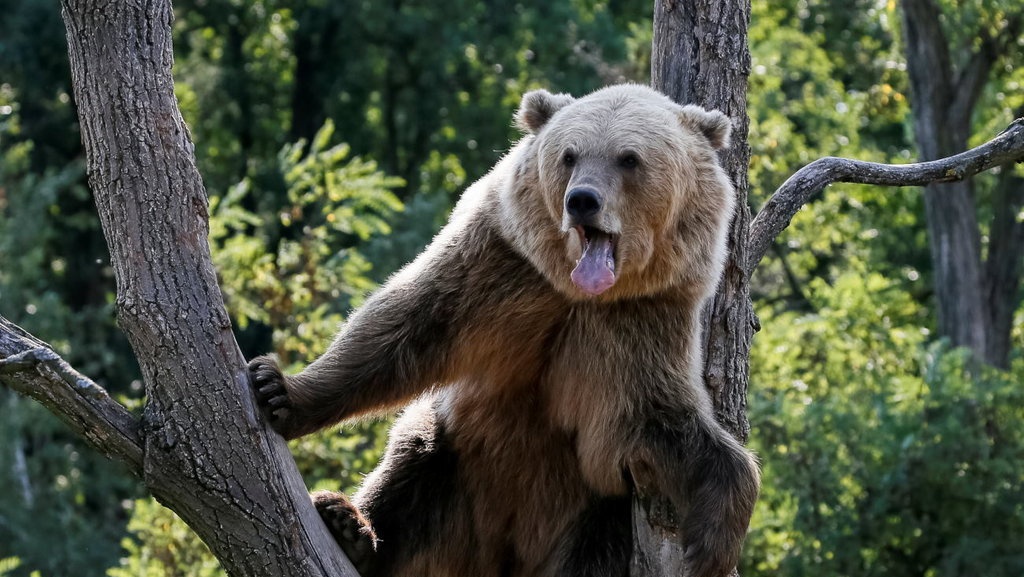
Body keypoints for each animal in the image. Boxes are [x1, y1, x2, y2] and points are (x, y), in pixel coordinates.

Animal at [249, 83, 760, 577]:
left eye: (629, 158)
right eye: (569, 155)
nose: (582, 200)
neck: (576, 292)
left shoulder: (638, 324)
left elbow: (660, 421)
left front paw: (713, 543)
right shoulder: (500, 269)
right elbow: (402, 330)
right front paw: (280, 390)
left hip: (590, 516)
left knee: (594, 554)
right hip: (456, 478)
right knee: (413, 465)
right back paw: (351, 527)